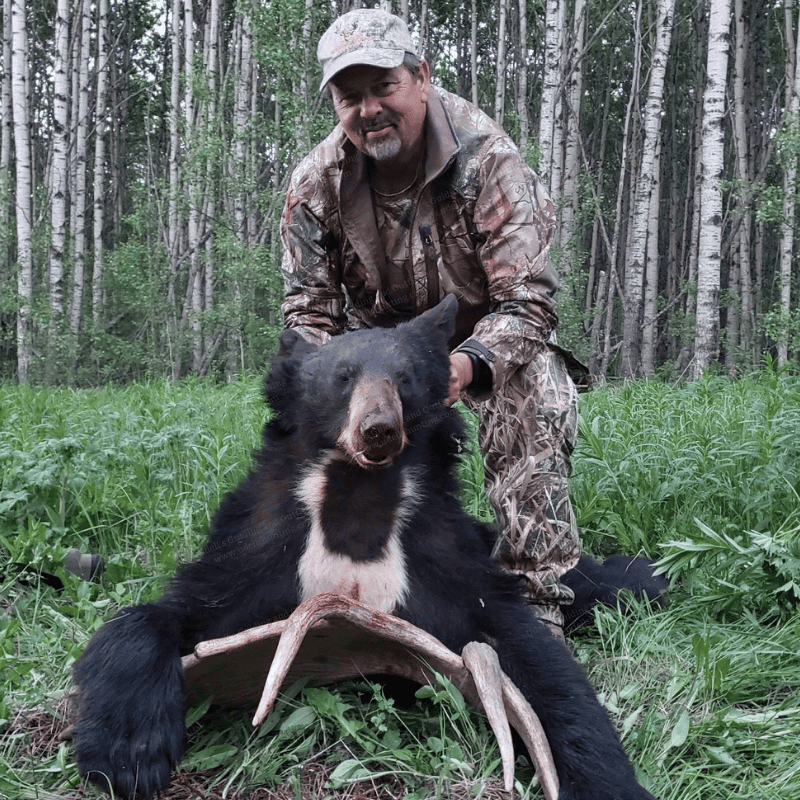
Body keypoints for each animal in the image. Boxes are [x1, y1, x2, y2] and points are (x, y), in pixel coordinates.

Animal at [73, 295, 657, 800]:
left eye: (403, 378)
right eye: (343, 376)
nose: (378, 429)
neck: (358, 499)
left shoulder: (445, 559)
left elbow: (537, 663)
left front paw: (607, 782)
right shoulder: (263, 550)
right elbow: (169, 614)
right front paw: (130, 754)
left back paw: (647, 576)